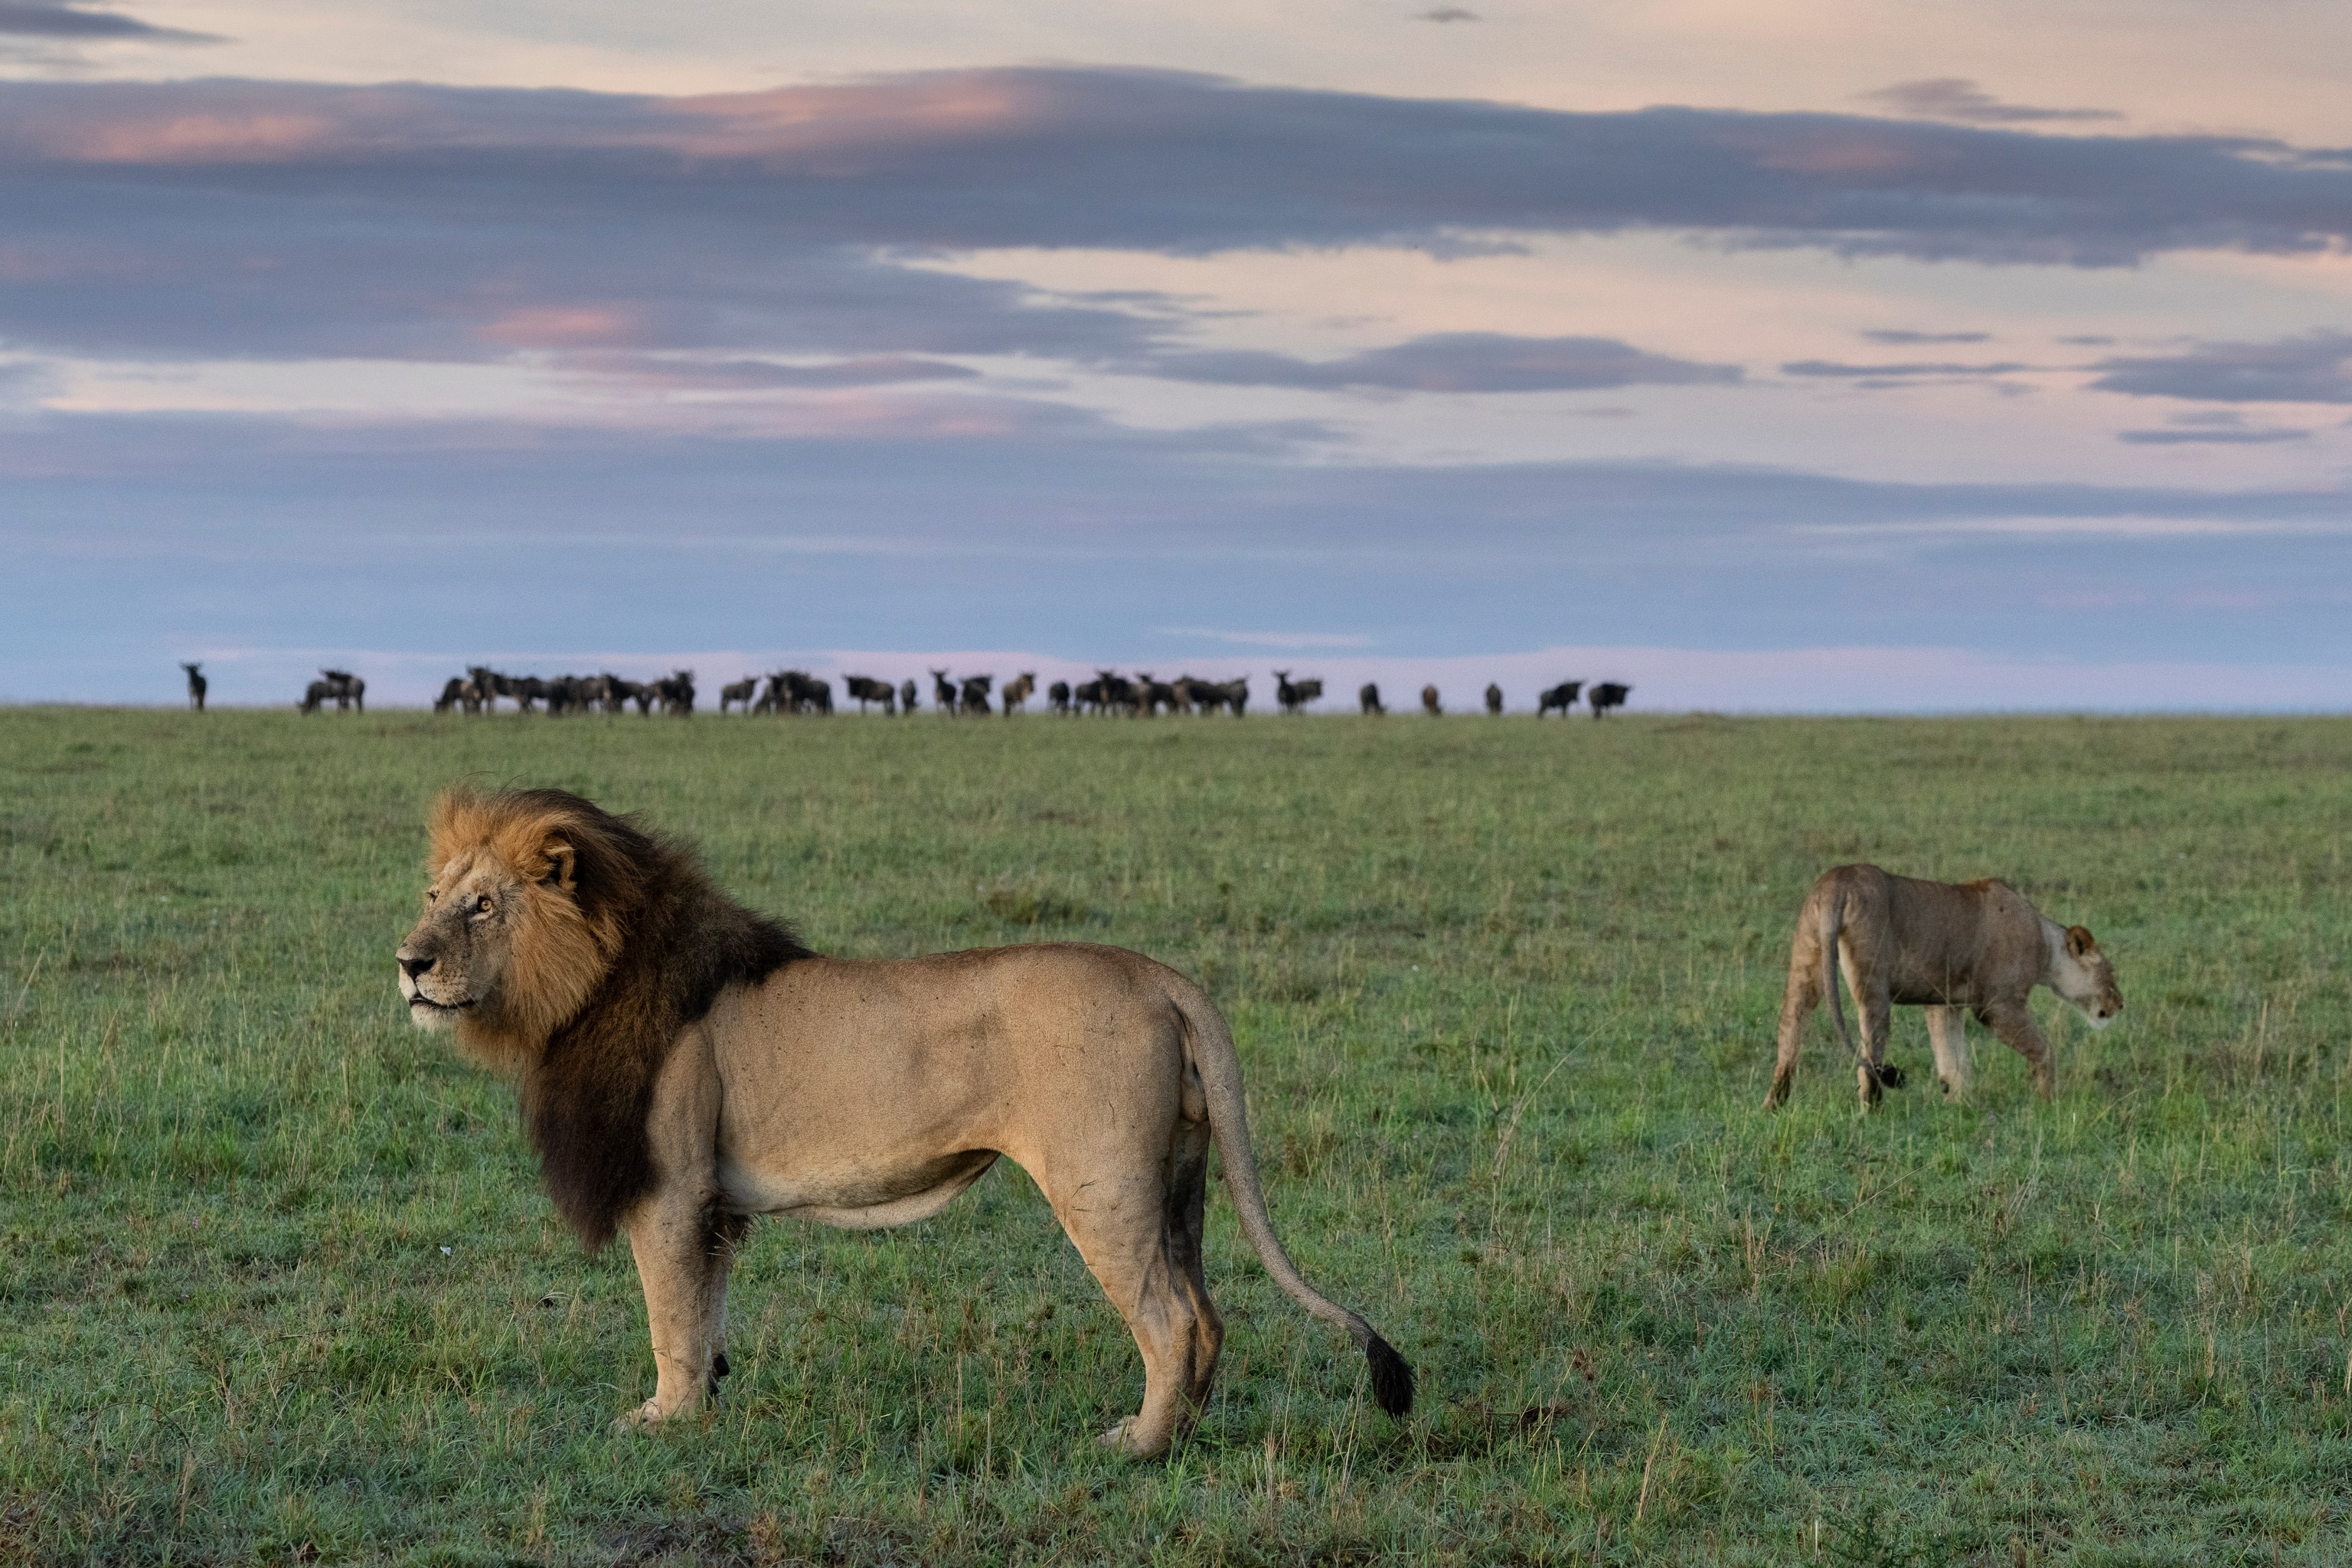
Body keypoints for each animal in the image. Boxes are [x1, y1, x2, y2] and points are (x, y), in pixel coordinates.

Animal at [394, 787, 1414, 1456]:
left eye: (482, 904)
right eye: (433, 896)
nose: (408, 962)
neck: (584, 982)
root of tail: (1164, 976)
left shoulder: (671, 1186)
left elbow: (669, 1313)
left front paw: (665, 1419)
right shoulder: (714, 1202)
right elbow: (707, 1308)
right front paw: (709, 1401)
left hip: (1103, 1183)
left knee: (1169, 1319)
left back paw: (1139, 1446)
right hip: (1180, 1180)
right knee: (1207, 1309)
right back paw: (1180, 1432)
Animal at [1766, 863, 2122, 1109]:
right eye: (2109, 972)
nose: (2120, 1004)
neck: (2046, 944)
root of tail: (1838, 880)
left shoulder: (1943, 1003)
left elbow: (1952, 1060)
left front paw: (1960, 1108)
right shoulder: (1998, 1005)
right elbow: (2043, 1049)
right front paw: (2049, 1103)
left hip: (1806, 958)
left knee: (1790, 1027)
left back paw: (1774, 1105)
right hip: (1873, 984)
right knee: (1870, 1055)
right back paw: (1872, 1112)